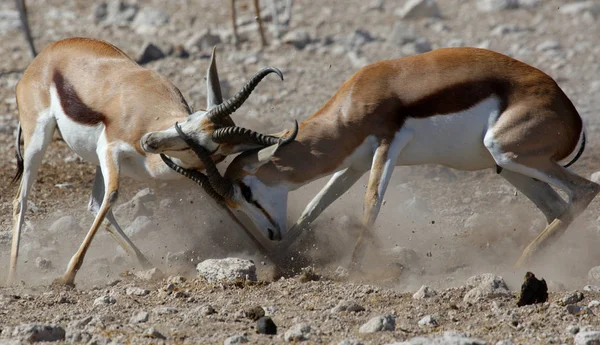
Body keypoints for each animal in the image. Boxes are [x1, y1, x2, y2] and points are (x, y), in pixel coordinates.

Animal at [8, 37, 290, 284]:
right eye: (188, 120)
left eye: (202, 145)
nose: (148, 141)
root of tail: (46, 54)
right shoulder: (109, 148)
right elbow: (113, 195)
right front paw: (66, 278)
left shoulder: (192, 171)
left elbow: (221, 204)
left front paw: (272, 258)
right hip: (38, 140)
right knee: (21, 200)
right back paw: (14, 274)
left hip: (94, 161)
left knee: (95, 204)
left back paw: (146, 264)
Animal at [159, 46, 600, 266]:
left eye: (246, 191)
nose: (269, 235)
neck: (354, 101)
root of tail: (570, 113)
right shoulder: (352, 165)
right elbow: (316, 206)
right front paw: (281, 260)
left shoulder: (388, 146)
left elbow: (371, 204)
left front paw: (354, 268)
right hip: (506, 168)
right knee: (556, 209)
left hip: (506, 152)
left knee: (585, 191)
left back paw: (521, 262)